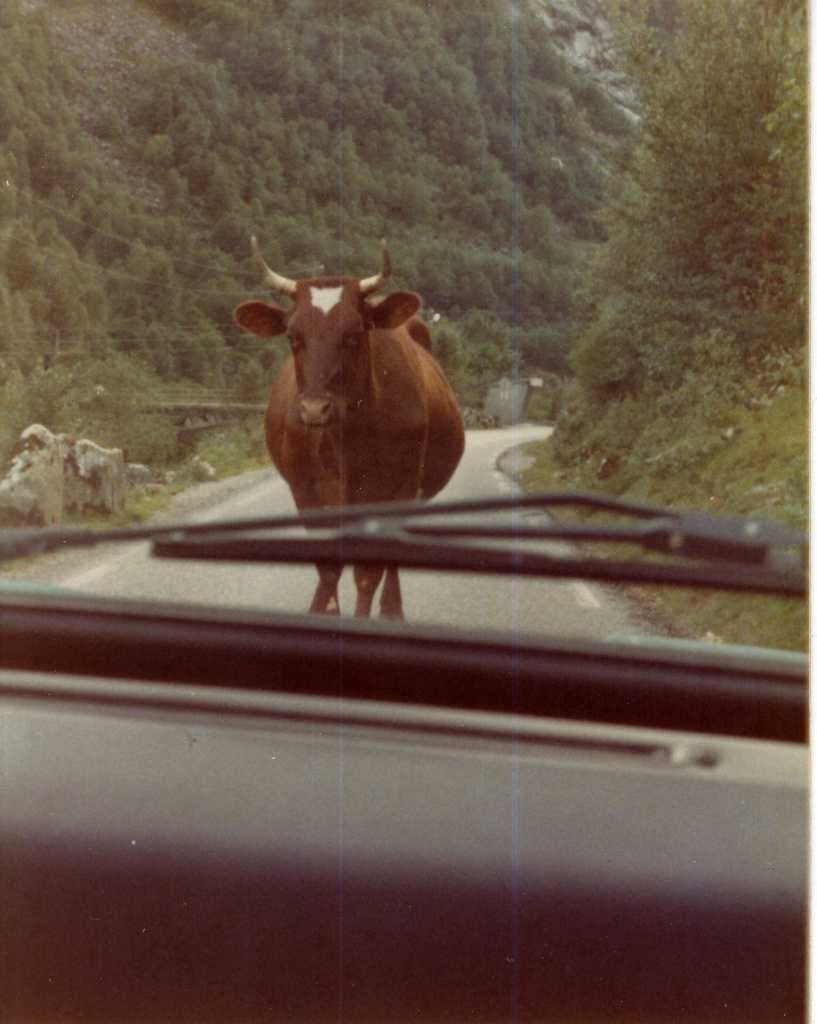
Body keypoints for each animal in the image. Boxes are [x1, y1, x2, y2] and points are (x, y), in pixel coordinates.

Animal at [233, 237, 465, 620]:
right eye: (293, 336)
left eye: (354, 334)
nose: (314, 408)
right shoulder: (306, 490)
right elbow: (328, 568)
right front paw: (322, 611)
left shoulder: (394, 491)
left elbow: (368, 573)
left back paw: (392, 611)